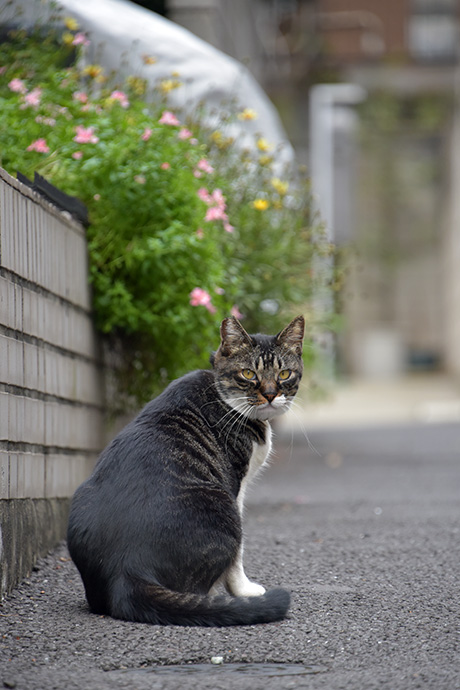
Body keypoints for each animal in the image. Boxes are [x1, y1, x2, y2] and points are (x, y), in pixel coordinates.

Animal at [67, 314, 306, 628]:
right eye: (248, 374)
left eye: (284, 375)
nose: (269, 394)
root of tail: (125, 571)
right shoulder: (236, 486)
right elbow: (238, 558)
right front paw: (244, 590)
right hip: (223, 505)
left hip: (81, 498)